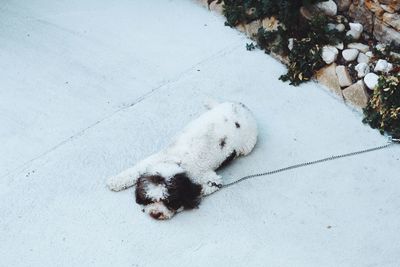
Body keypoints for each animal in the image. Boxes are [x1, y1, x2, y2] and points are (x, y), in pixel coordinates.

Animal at [106, 102, 258, 220]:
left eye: (168, 201)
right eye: (150, 199)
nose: (155, 214)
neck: (176, 160)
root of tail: (241, 107)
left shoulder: (212, 180)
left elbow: (198, 191)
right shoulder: (152, 161)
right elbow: (134, 170)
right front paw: (116, 181)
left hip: (247, 145)